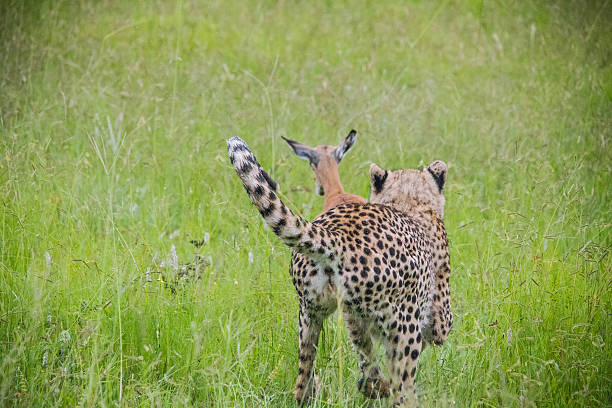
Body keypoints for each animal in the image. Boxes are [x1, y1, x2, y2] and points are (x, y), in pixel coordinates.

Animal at [227, 136, 452, 404]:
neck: (408, 201)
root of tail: (338, 236)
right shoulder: (437, 320)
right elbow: (432, 337)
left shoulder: (352, 317)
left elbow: (365, 353)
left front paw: (371, 384)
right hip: (403, 329)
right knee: (403, 390)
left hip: (310, 315)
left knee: (303, 382)